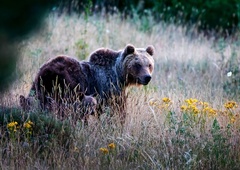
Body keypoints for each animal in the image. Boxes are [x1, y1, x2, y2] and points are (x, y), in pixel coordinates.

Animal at [20, 43, 156, 123]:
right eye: (137, 64)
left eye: (149, 64)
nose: (147, 77)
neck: (119, 74)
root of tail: (47, 72)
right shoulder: (110, 87)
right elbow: (117, 109)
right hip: (68, 84)